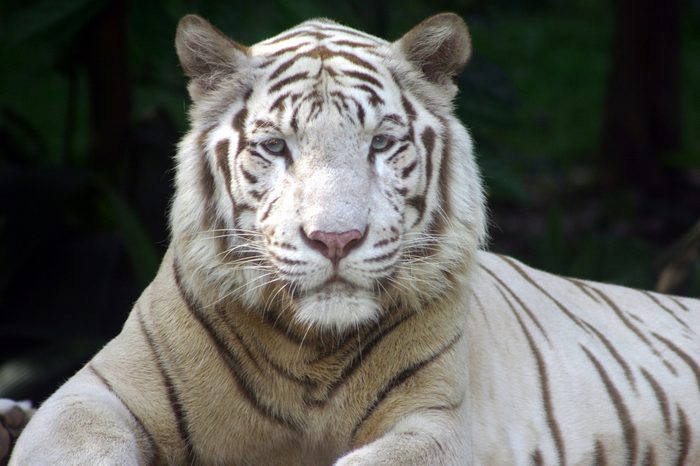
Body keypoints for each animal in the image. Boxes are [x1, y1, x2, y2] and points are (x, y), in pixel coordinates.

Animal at [4, 11, 699, 466]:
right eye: (275, 147)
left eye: (382, 143)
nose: (335, 239)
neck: (305, 354)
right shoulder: (94, 391)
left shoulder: (434, 422)